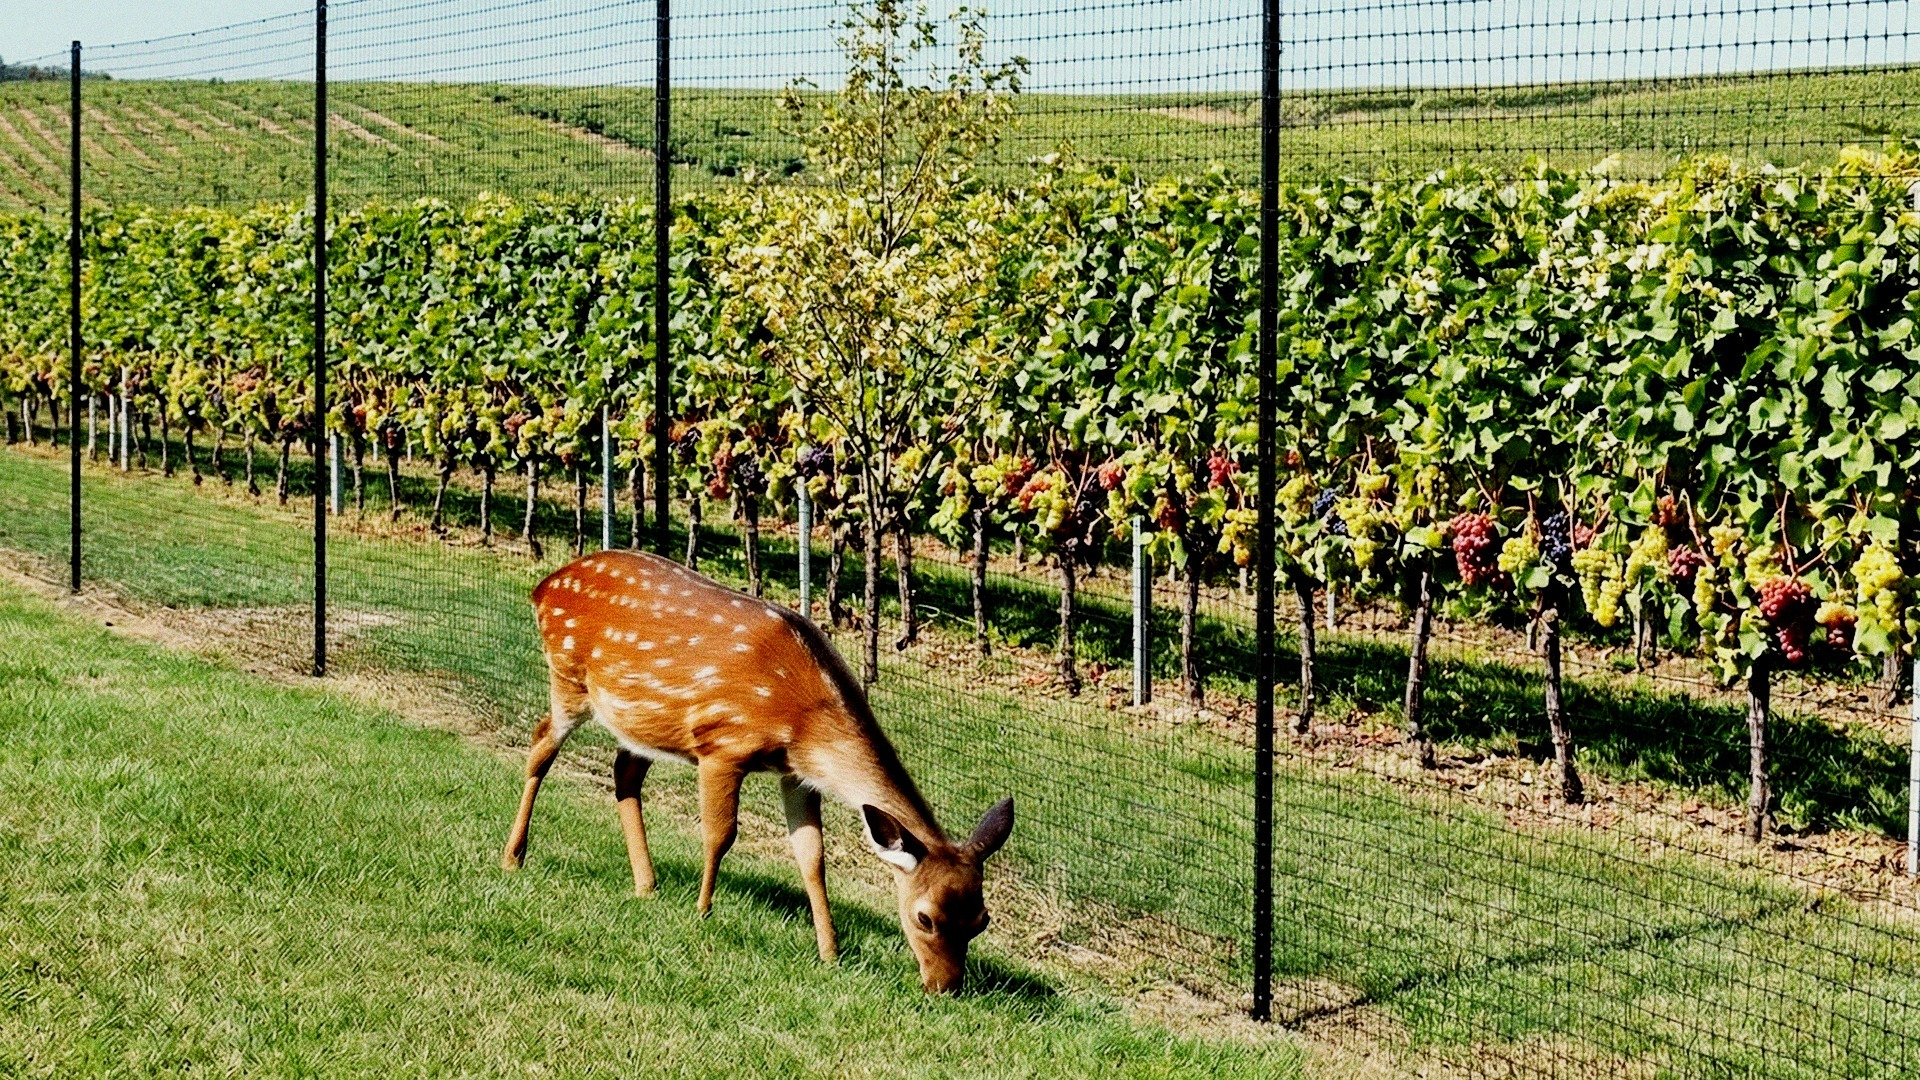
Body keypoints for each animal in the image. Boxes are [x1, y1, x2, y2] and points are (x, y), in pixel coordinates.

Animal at [502, 549, 1014, 994]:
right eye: (924, 917)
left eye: (982, 920)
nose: (945, 987)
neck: (802, 722)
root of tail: (544, 586)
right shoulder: (722, 745)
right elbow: (720, 834)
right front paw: (703, 912)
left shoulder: (797, 775)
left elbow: (812, 858)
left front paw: (830, 951)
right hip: (569, 677)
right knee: (541, 744)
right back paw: (514, 856)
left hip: (640, 720)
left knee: (625, 771)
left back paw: (646, 885)